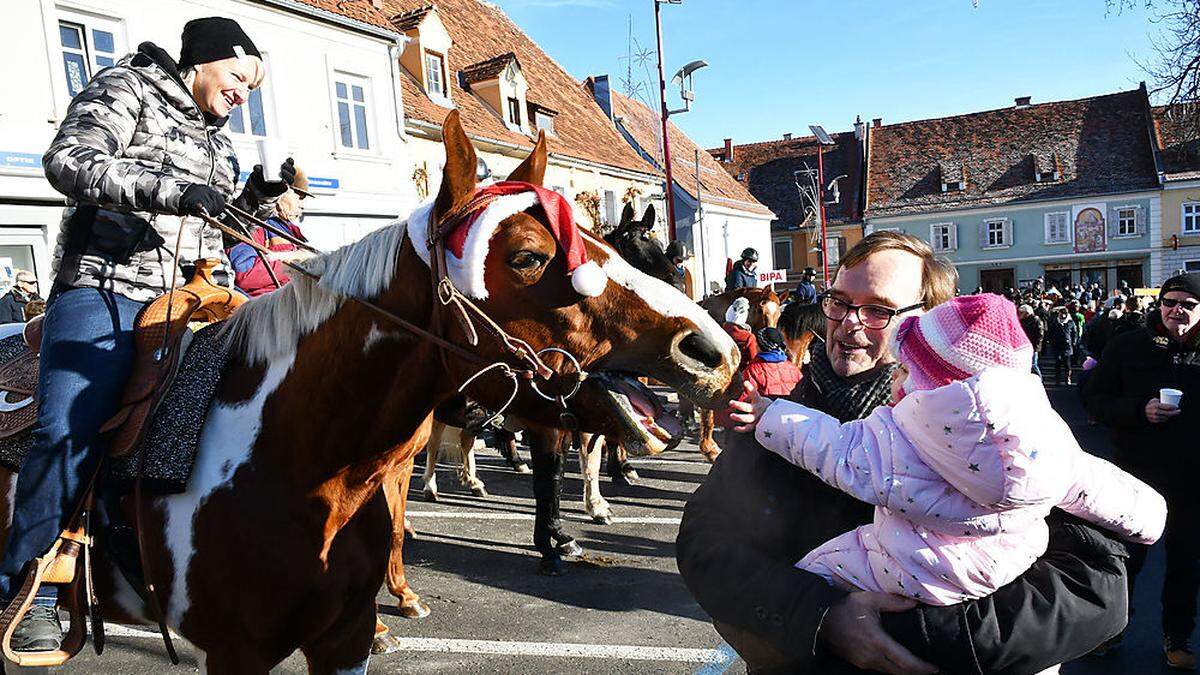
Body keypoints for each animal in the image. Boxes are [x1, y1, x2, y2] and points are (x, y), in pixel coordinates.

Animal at [0, 112, 734, 667]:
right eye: (527, 255)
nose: (712, 349)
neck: (287, 453)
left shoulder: (340, 632)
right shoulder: (238, 652)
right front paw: (557, 540)